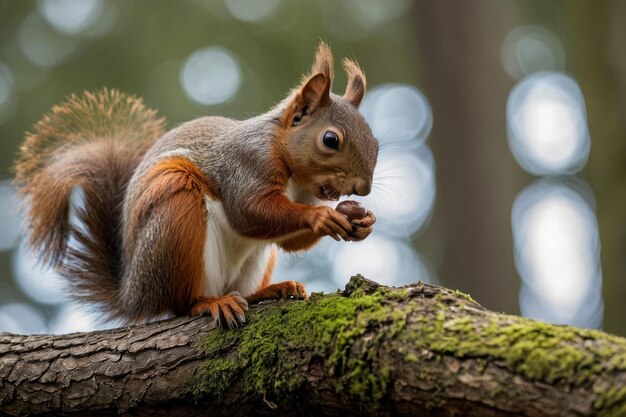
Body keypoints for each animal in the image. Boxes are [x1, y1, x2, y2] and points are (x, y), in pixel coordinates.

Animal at [13, 42, 376, 328]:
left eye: (374, 140)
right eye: (330, 140)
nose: (363, 189)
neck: (292, 172)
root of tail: (133, 294)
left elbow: (288, 242)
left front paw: (363, 222)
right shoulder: (246, 164)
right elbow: (250, 212)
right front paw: (323, 217)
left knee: (246, 288)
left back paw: (271, 290)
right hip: (174, 217)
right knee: (179, 304)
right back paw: (210, 302)